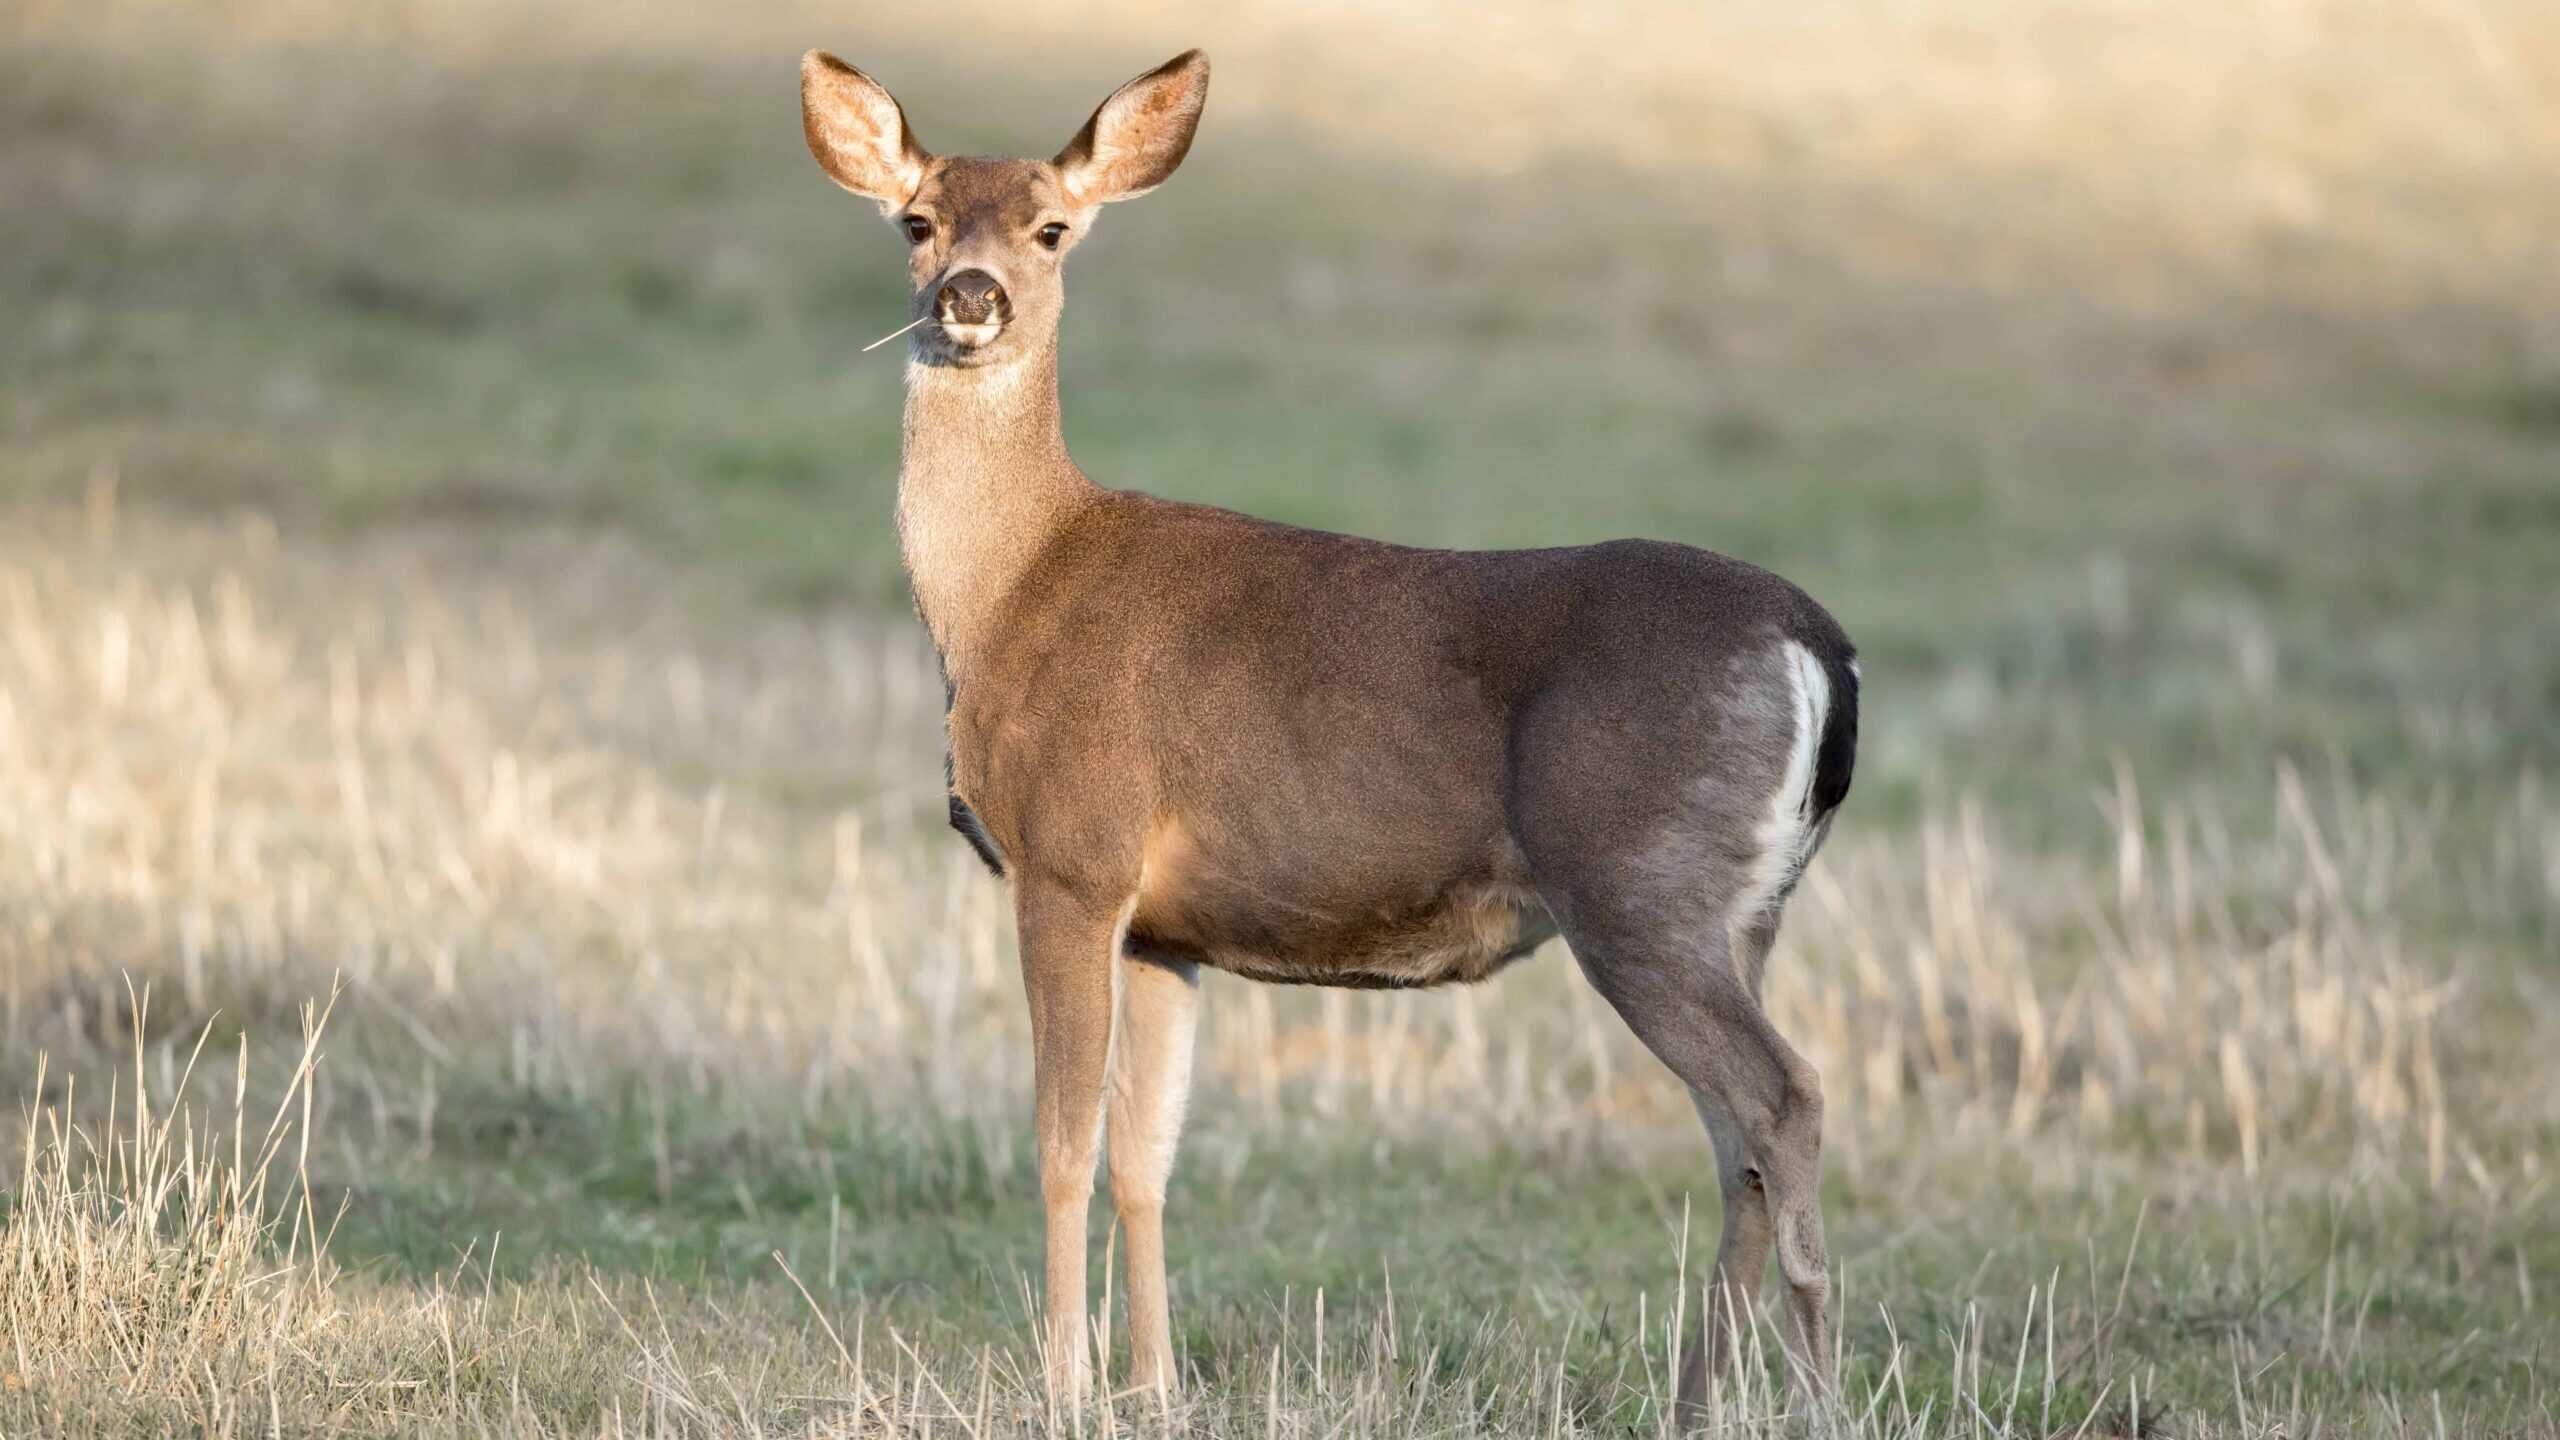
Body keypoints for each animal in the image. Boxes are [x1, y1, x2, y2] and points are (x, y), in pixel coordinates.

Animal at [797, 47, 1861, 1421]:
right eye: (917, 220)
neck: (1005, 591)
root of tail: (1817, 646)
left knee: (1782, 1099)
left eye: (1051, 228)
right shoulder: (1164, 928)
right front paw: (1154, 1388)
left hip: (1636, 887)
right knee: (1736, 1138)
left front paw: (1066, 1391)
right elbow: (1145, 1153)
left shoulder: (1072, 858)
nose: (968, 297)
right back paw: (1692, 1404)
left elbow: (1060, 1142)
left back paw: (1820, 1398)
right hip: (1739, 915)